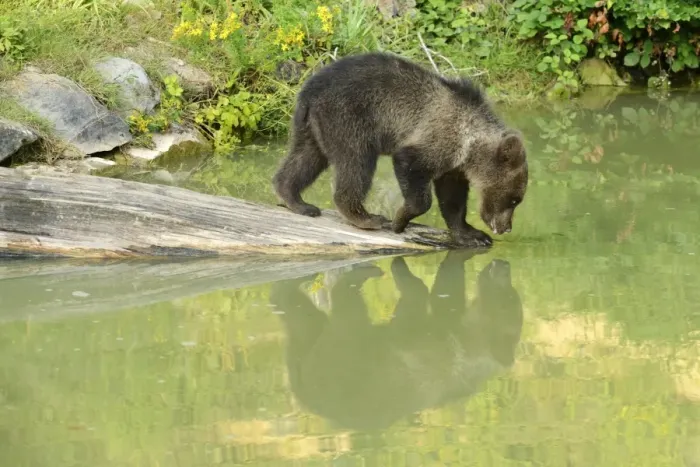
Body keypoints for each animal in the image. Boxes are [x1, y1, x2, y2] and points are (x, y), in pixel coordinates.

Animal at [272, 51, 529, 248]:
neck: (470, 145)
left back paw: (298, 201)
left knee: (306, 158)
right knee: (356, 164)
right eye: (515, 199)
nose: (506, 227)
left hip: (312, 125)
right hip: (348, 118)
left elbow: (452, 200)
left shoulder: (452, 164)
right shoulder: (436, 138)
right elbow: (412, 170)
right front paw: (399, 220)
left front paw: (472, 235)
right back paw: (367, 218)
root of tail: (309, 89)